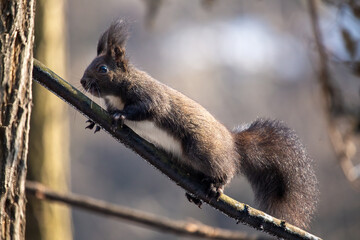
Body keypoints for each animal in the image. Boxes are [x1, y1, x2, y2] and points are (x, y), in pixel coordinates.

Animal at [81, 20, 318, 229]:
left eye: (102, 69)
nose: (83, 82)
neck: (116, 95)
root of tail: (233, 144)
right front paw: (97, 122)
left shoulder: (150, 96)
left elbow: (146, 109)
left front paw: (120, 116)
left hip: (201, 150)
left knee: (226, 169)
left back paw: (216, 186)